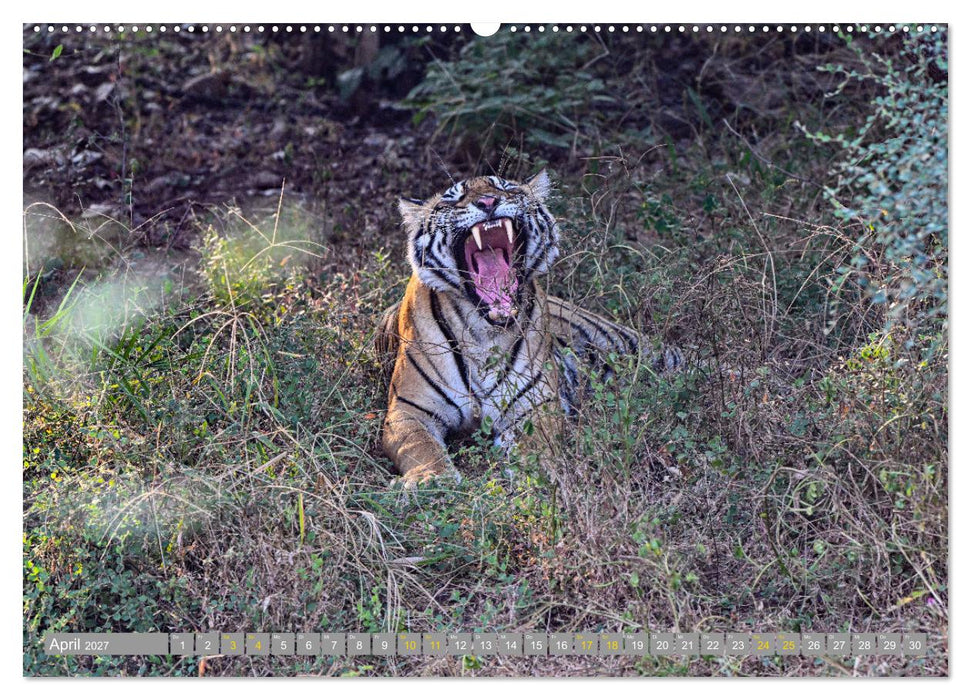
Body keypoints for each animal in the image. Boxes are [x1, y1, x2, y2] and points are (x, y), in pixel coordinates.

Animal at [375, 171, 681, 487]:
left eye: (506, 188)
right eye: (453, 198)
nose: (488, 202)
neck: (484, 332)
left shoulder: (536, 404)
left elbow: (537, 442)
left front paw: (534, 471)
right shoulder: (408, 410)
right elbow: (420, 446)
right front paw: (432, 479)